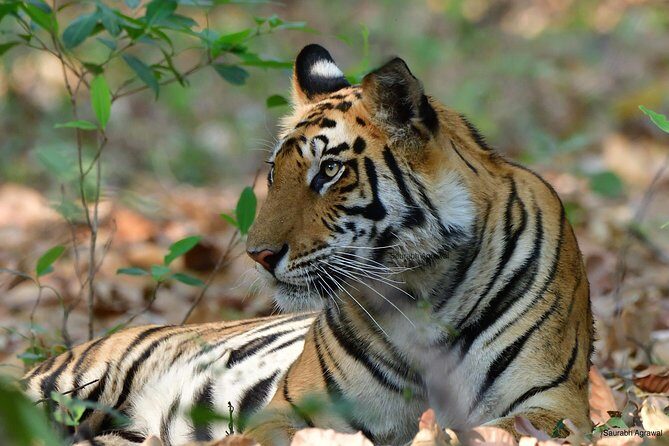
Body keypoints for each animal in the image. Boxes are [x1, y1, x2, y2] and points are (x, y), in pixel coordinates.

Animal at [23, 44, 593, 446]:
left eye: (330, 171)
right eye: (275, 172)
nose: (257, 255)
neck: (420, 294)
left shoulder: (554, 406)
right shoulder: (293, 409)